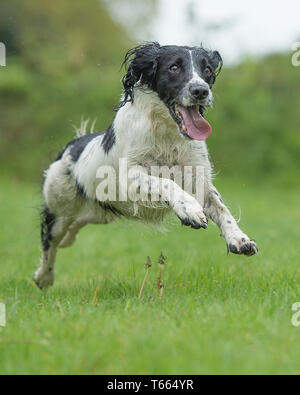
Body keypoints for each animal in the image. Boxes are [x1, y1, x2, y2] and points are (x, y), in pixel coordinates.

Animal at [34, 43, 258, 290]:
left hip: (97, 213)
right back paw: (43, 277)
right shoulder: (131, 177)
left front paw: (239, 239)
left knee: (69, 235)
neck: (166, 133)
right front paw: (190, 210)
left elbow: (220, 207)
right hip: (59, 209)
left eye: (207, 70)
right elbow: (165, 183)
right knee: (50, 242)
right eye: (174, 67)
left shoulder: (198, 176)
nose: (201, 91)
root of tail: (70, 147)